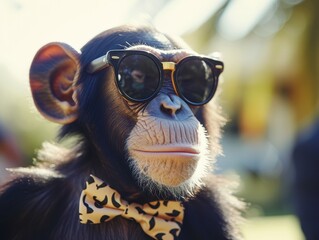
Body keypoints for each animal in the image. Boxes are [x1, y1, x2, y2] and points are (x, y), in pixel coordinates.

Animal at [0, 24, 244, 240]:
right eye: (137, 75)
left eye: (192, 80)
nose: (173, 107)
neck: (130, 202)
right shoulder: (21, 197)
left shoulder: (214, 209)